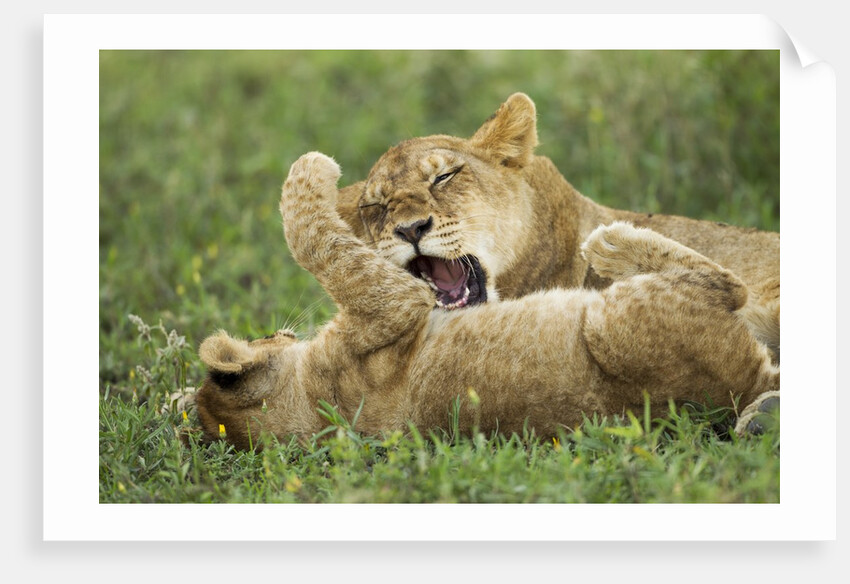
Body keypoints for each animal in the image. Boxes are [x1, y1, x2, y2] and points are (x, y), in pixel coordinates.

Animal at [194, 152, 779, 449]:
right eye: (270, 336)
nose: (284, 329)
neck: (311, 410)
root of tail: (741, 387)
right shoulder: (391, 304)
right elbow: (312, 238)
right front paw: (313, 166)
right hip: (614, 324)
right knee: (728, 285)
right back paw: (609, 243)